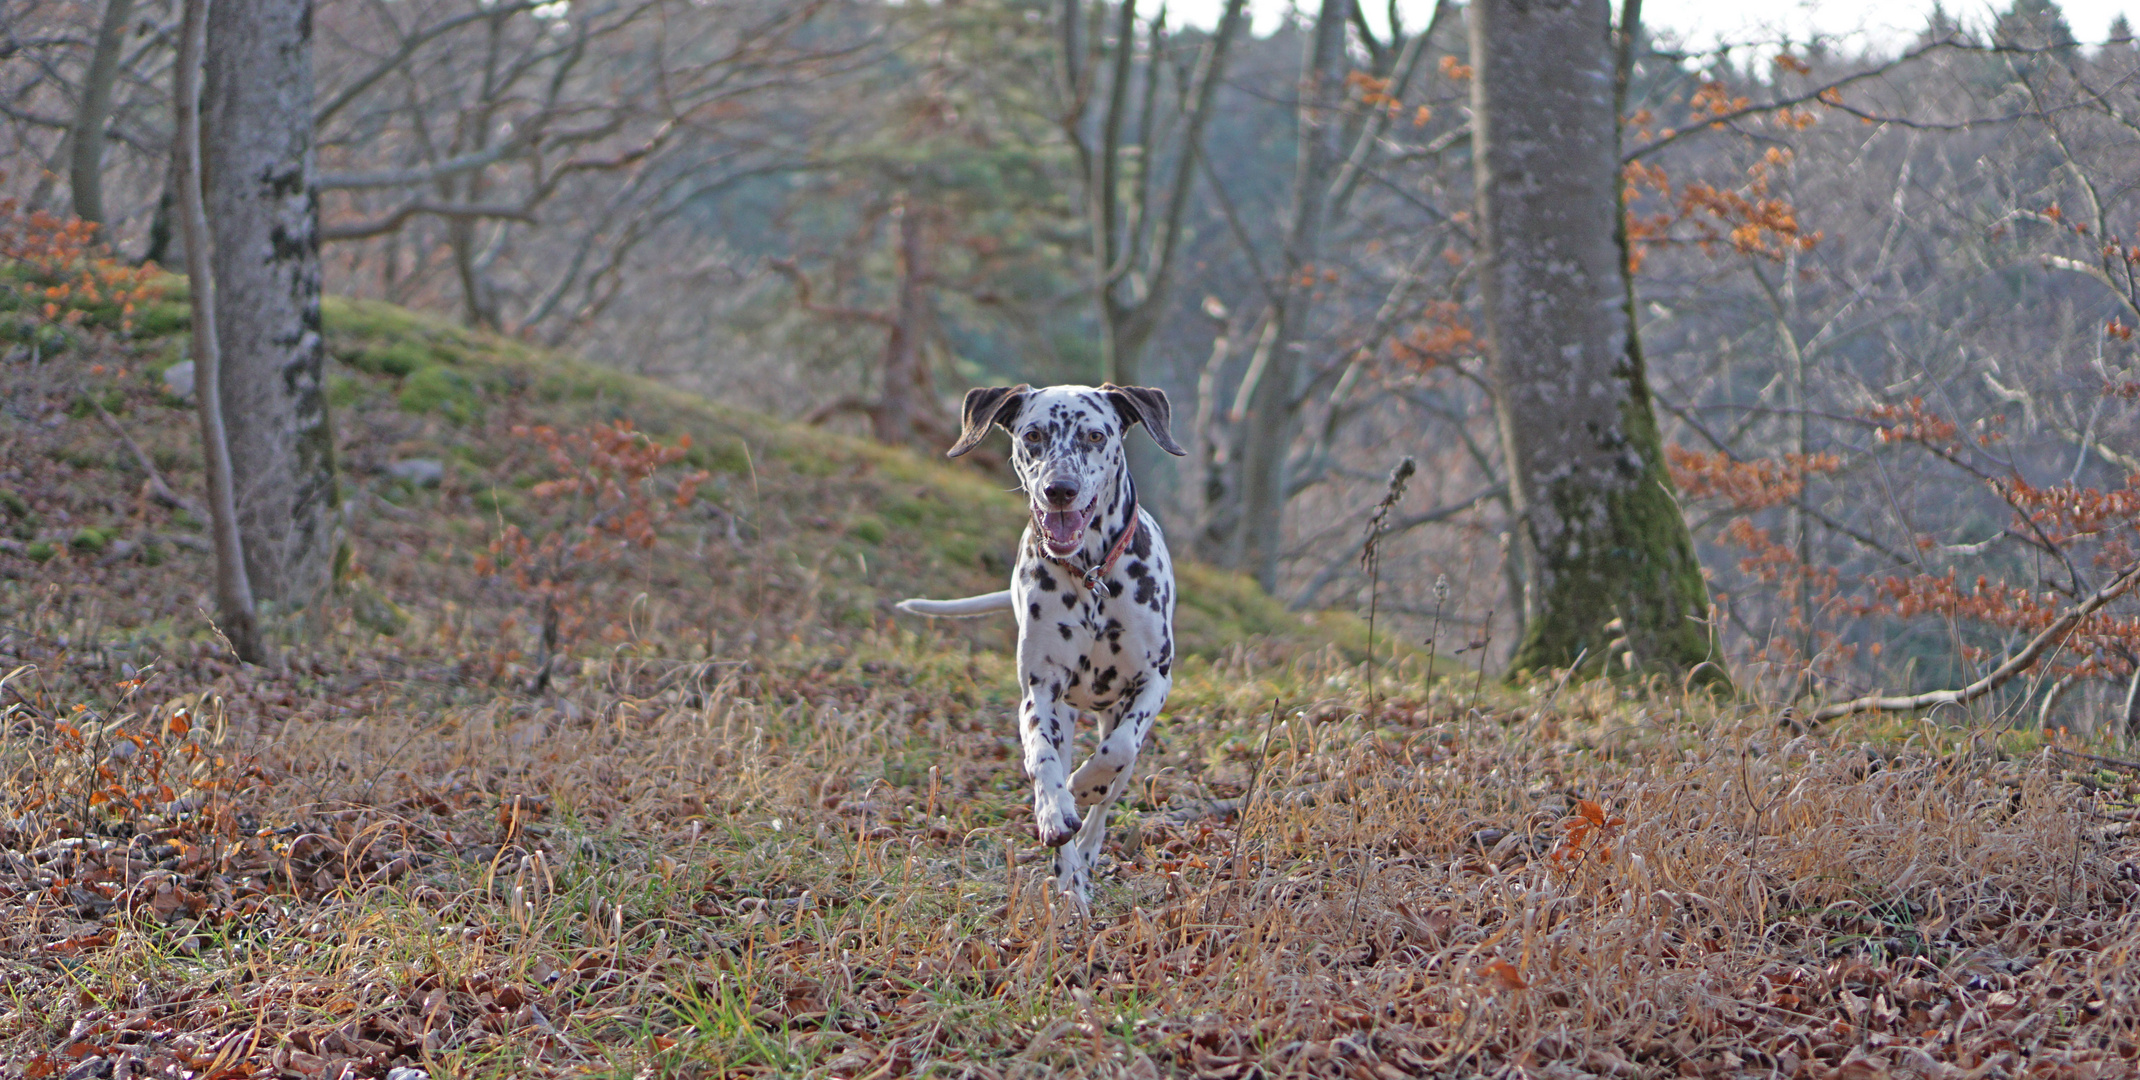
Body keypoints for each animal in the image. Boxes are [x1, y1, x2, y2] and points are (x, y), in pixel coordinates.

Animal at [890, 382, 1189, 906]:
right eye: (1032, 435)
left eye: (1096, 435)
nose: (1059, 488)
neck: (1091, 576)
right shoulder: (1041, 692)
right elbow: (1041, 759)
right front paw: (1054, 809)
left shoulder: (1153, 681)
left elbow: (1117, 752)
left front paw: (1085, 786)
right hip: (1065, 715)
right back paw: (1069, 877)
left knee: (1109, 790)